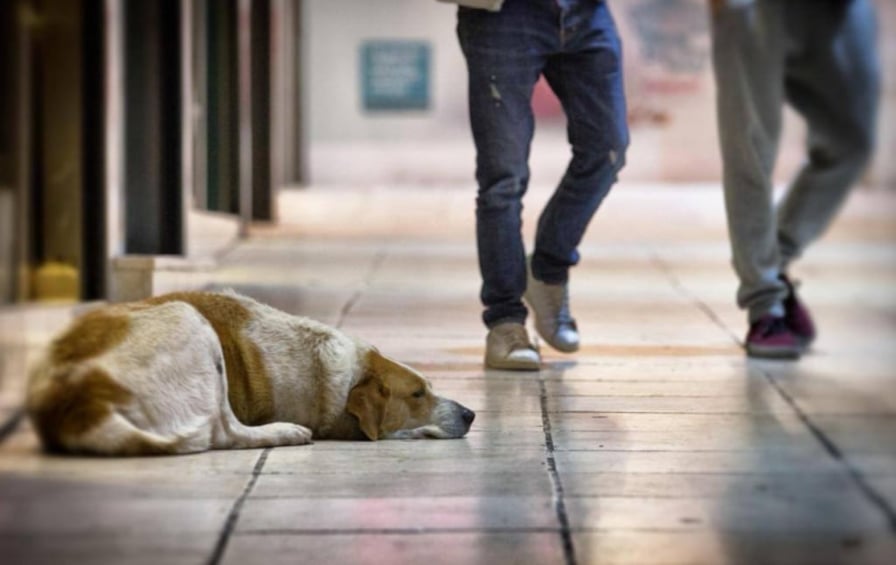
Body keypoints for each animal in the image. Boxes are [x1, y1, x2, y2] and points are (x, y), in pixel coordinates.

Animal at [26, 288, 476, 456]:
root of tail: (78, 401)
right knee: (222, 432)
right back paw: (285, 433)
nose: (471, 413)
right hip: (190, 321)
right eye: (417, 394)